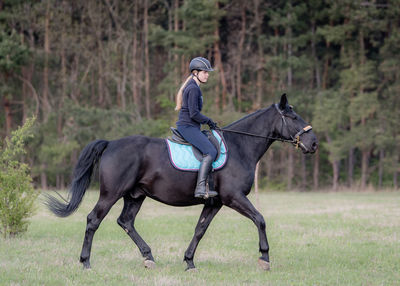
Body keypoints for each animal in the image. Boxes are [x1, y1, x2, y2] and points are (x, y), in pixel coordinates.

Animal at [45, 93, 318, 270]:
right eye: (293, 117)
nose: (313, 143)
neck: (240, 146)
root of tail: (111, 144)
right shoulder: (234, 197)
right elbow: (260, 219)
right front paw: (264, 258)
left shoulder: (214, 203)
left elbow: (200, 230)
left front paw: (189, 261)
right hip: (111, 194)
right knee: (94, 220)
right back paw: (86, 262)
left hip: (135, 196)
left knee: (125, 221)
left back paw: (148, 258)